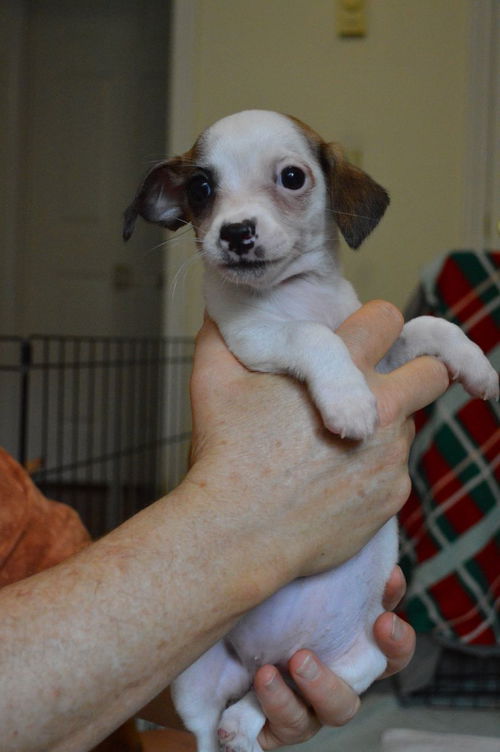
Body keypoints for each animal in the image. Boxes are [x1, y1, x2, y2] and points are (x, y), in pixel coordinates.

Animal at [123, 107, 498, 752]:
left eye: (292, 177)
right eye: (201, 188)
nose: (235, 233)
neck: (300, 292)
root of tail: (263, 659)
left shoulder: (381, 352)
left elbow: (427, 324)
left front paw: (476, 363)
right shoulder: (256, 336)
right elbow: (315, 336)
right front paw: (348, 401)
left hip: (358, 662)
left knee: (261, 697)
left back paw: (246, 724)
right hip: (192, 678)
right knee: (202, 730)